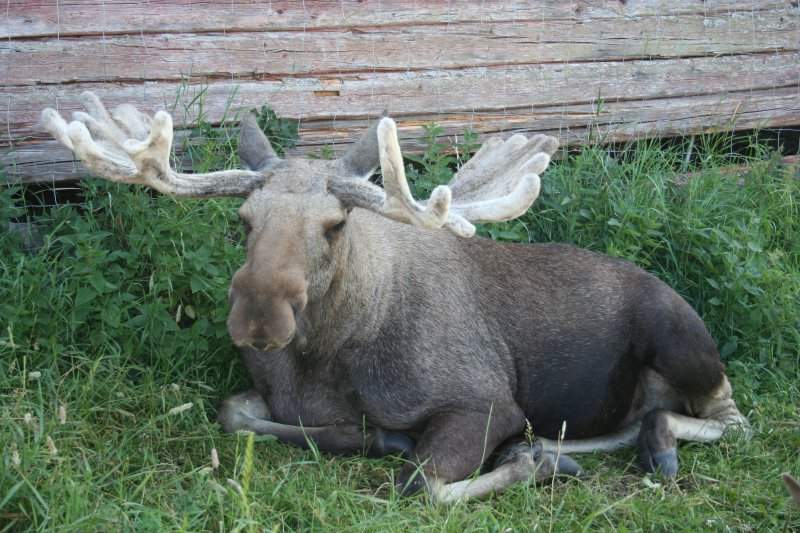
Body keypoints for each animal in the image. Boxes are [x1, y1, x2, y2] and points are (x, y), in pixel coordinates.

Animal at [43, 93, 752, 500]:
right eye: (243, 218)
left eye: (335, 223)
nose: (259, 316)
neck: (321, 359)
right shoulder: (269, 401)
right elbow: (236, 415)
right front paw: (379, 437)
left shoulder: (486, 402)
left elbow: (423, 487)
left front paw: (526, 467)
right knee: (630, 423)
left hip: (679, 338)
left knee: (729, 417)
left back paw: (641, 449)